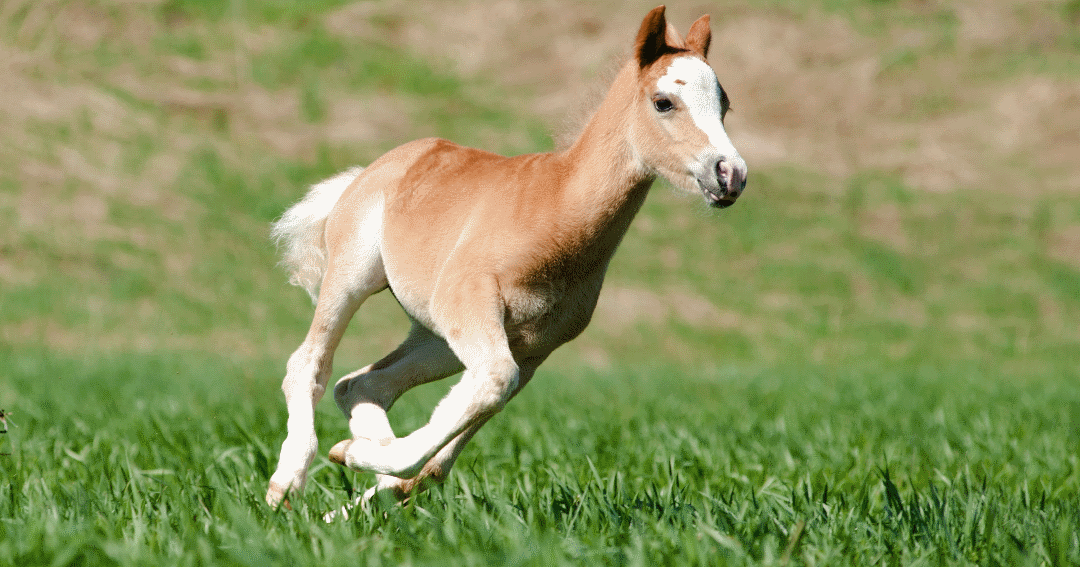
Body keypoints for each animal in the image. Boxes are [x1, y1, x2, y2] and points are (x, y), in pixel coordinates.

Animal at [265, 6, 747, 505]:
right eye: (663, 102)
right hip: (356, 276)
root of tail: (373, 169)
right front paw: (350, 457)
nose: (730, 175)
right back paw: (287, 483)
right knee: (309, 365)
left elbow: (443, 454)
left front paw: (363, 466)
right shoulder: (470, 302)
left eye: (724, 105)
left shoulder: (533, 350)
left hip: (436, 336)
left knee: (363, 385)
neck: (556, 215)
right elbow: (492, 384)